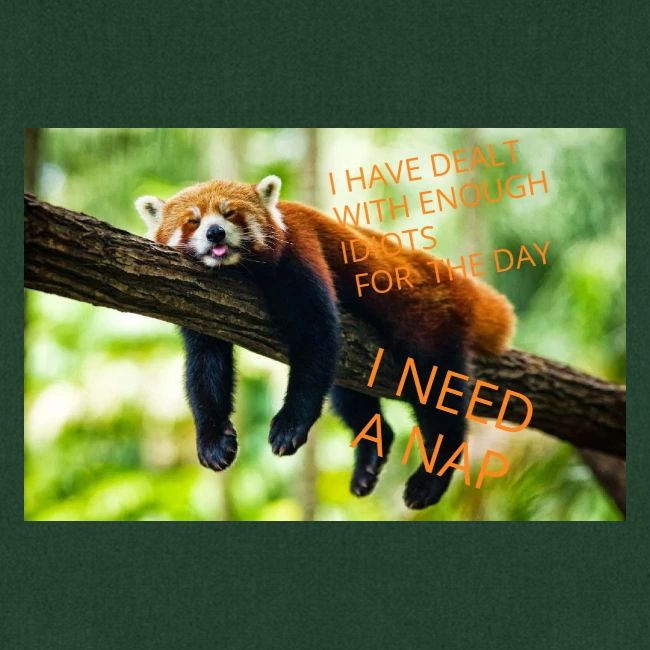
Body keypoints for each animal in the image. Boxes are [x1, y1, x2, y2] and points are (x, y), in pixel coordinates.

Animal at [136, 175, 515, 509]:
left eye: (230, 214)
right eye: (193, 221)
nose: (215, 232)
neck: (239, 270)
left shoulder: (300, 252)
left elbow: (316, 337)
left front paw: (290, 425)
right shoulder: (200, 304)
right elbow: (205, 366)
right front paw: (213, 440)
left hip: (427, 323)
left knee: (436, 392)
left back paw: (431, 477)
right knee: (348, 395)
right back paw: (370, 457)